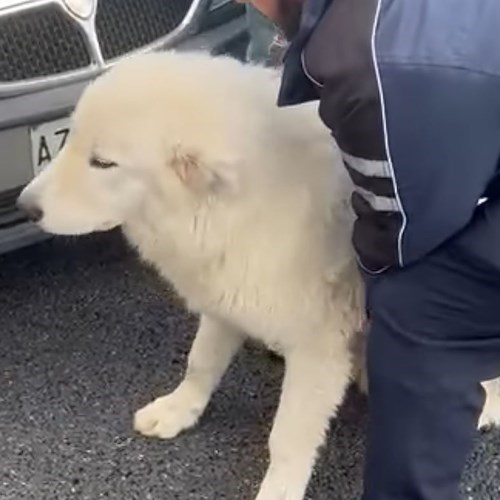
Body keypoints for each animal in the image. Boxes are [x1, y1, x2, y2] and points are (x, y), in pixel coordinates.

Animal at [16, 49, 500, 496]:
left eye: (102, 163)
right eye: (71, 141)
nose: (25, 207)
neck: (230, 206)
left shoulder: (317, 344)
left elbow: (286, 438)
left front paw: (278, 490)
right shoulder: (227, 294)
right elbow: (201, 362)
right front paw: (179, 409)